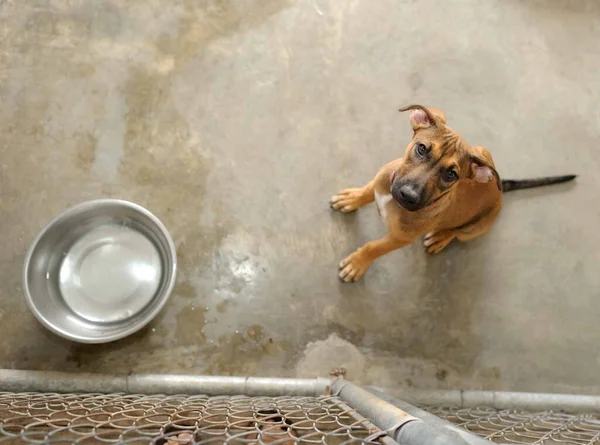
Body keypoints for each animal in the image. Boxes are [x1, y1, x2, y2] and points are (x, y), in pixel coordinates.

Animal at [330, 105, 576, 280]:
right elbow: (368, 190)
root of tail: (500, 190)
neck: (392, 201)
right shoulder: (384, 180)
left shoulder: (399, 239)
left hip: (475, 228)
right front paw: (352, 199)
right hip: (483, 150)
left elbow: (374, 247)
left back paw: (441, 237)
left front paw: (357, 264)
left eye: (451, 174)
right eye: (421, 148)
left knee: (457, 232)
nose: (407, 195)